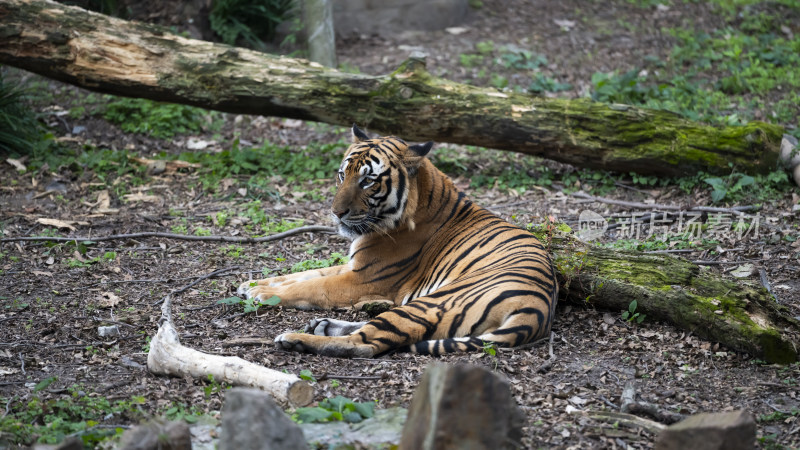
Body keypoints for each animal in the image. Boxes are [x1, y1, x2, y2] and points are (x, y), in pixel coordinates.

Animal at [239, 125, 556, 356]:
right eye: (342, 175)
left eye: (367, 181)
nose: (335, 213)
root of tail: (537, 310)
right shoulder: (354, 265)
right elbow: (305, 274)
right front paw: (251, 284)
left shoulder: (363, 279)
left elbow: (312, 286)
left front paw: (261, 295)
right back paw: (323, 326)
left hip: (431, 303)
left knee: (368, 343)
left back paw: (295, 338)